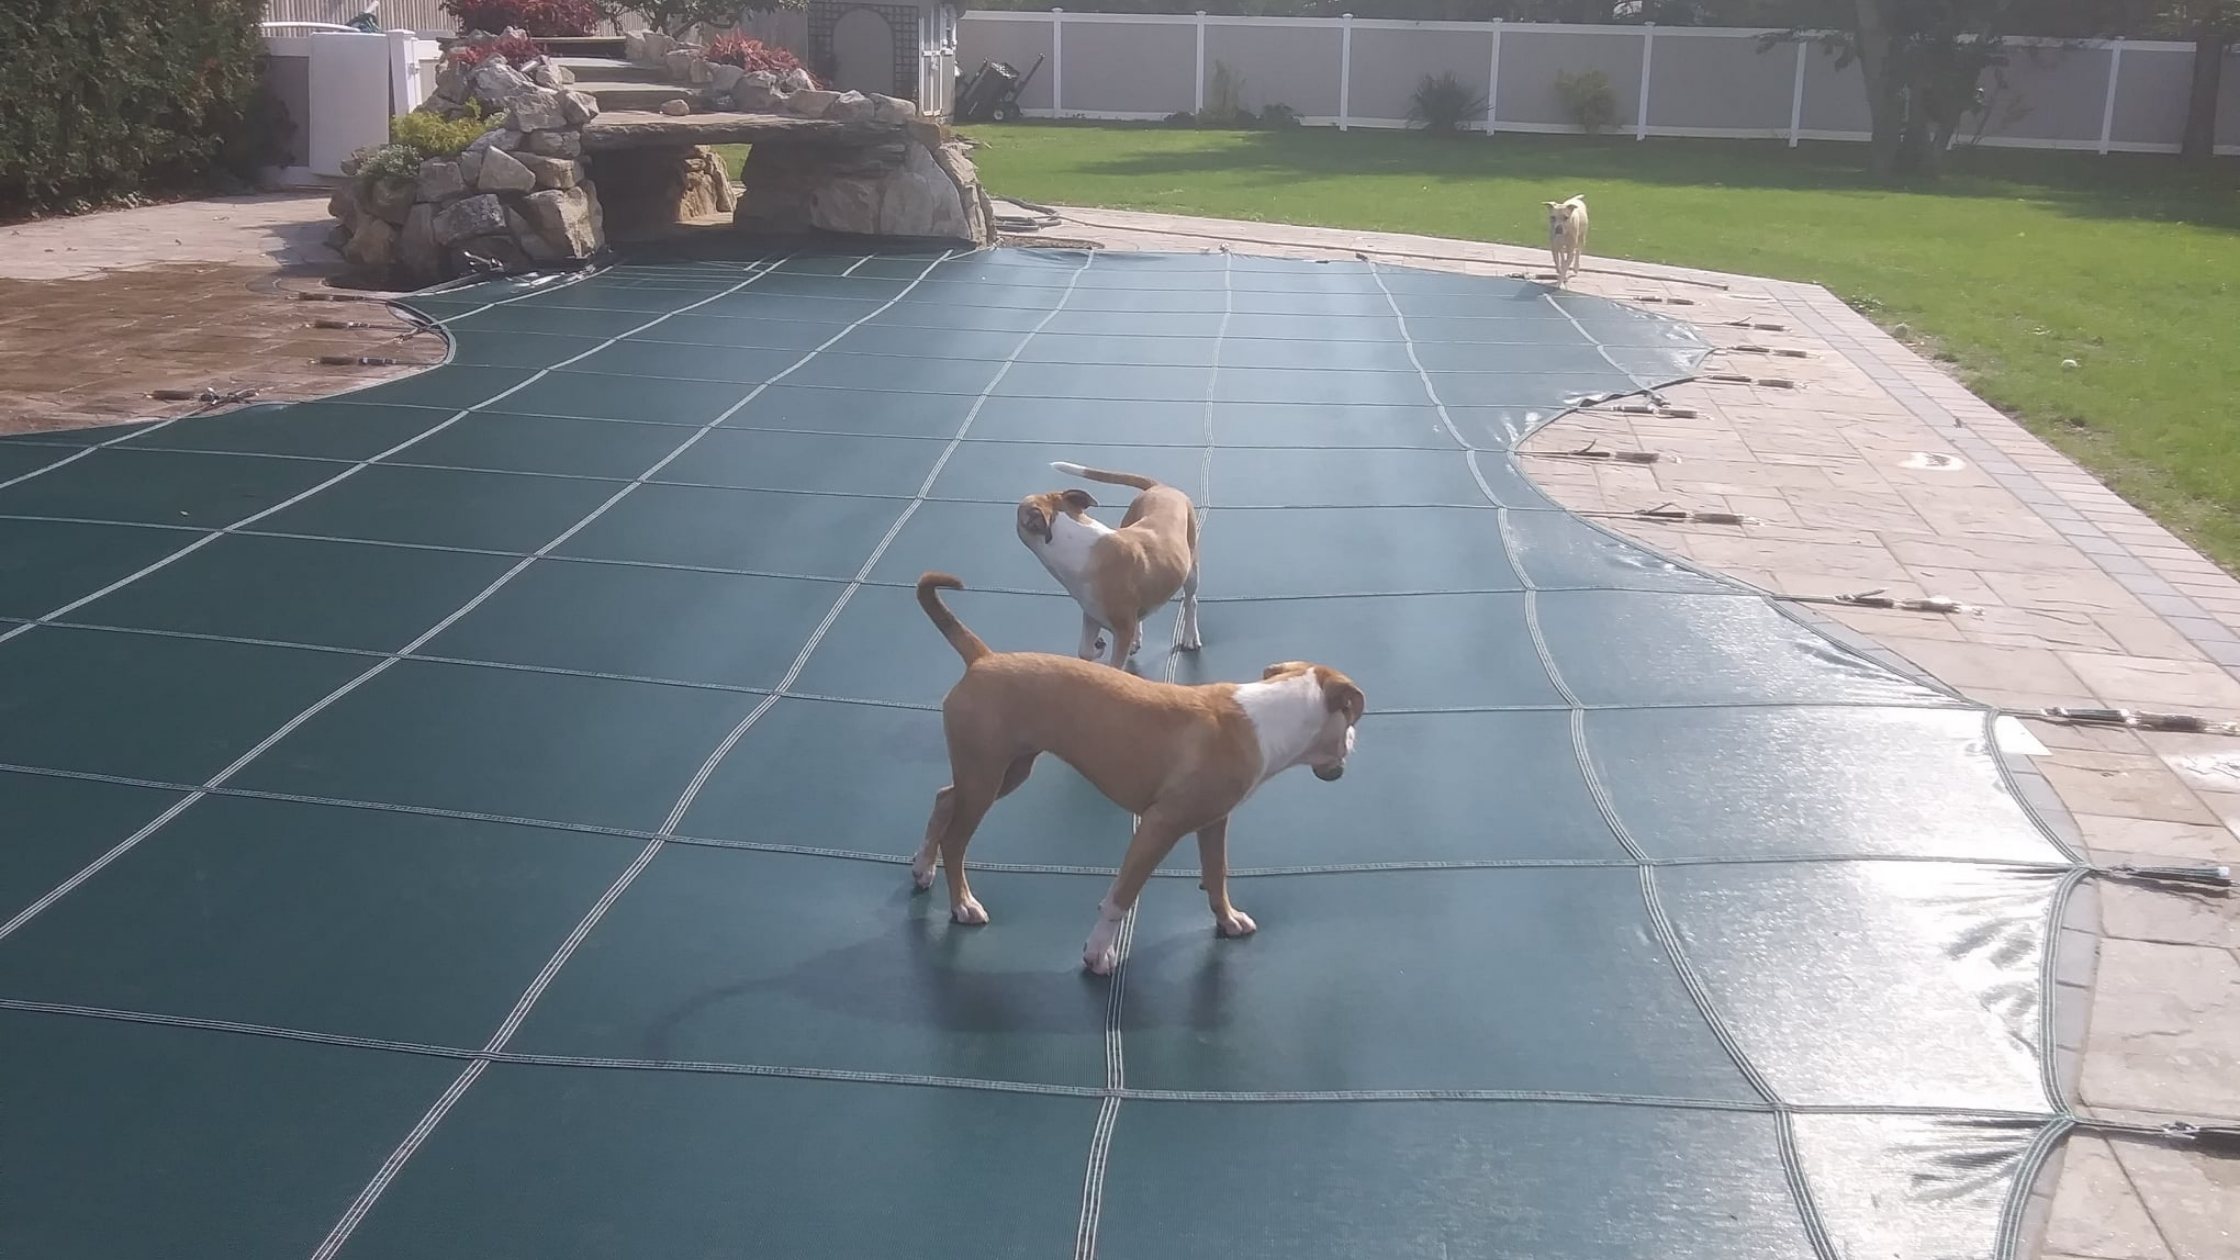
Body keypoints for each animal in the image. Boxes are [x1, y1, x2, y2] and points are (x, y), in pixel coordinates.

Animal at [909, 569, 1361, 973]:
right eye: (1351, 718)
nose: (1355, 741)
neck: (1269, 714)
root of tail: (983, 658)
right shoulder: (1158, 826)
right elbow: (1121, 896)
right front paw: (1098, 953)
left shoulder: (1213, 823)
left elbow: (1216, 874)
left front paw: (1227, 918)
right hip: (986, 778)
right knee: (955, 840)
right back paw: (962, 904)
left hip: (1003, 771)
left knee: (944, 798)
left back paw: (922, 867)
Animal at [1016, 455, 1200, 663]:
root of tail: (1160, 487)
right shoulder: (1091, 615)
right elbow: (1084, 650)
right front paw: (1097, 647)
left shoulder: (1122, 632)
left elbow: (1115, 663)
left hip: (1191, 567)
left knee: (1191, 600)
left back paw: (1190, 636)